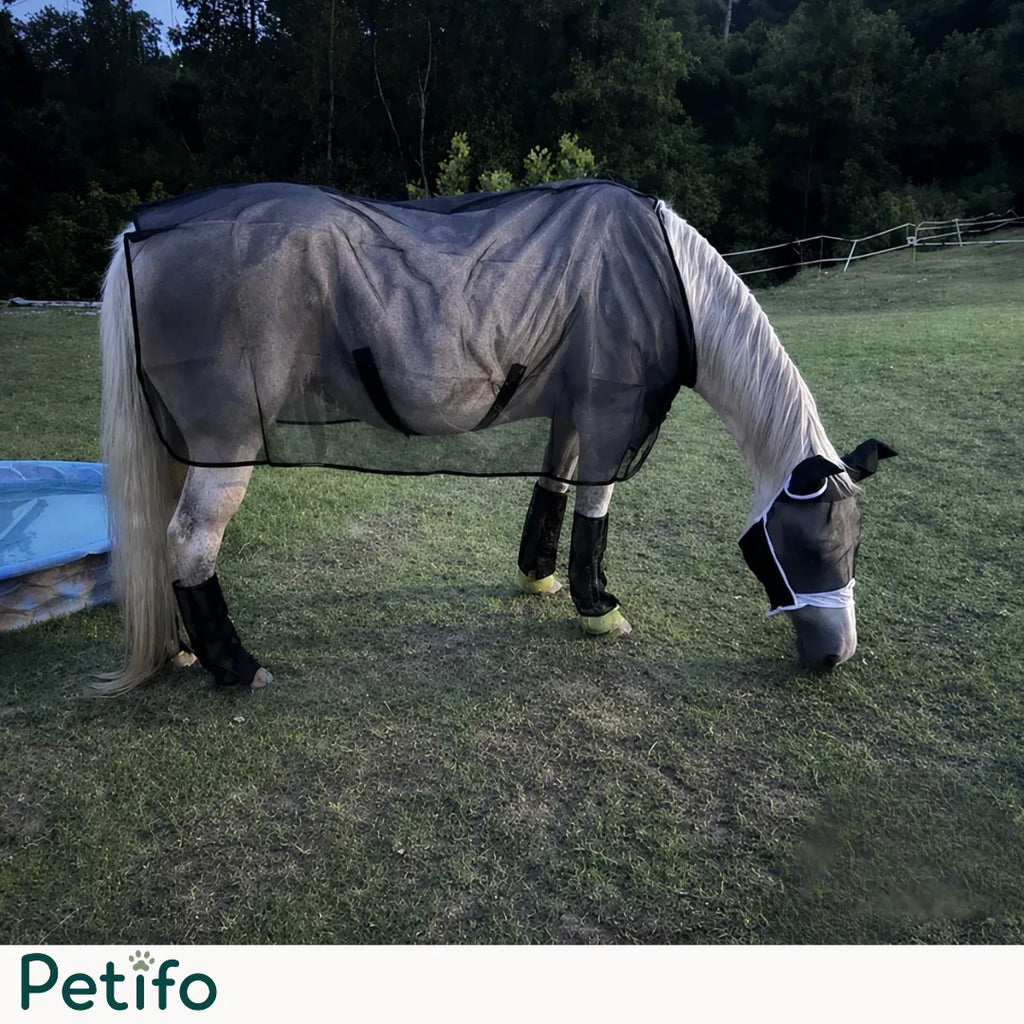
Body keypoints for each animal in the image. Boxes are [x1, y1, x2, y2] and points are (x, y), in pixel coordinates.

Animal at [94, 180, 894, 695]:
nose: (837, 657)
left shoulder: (571, 411)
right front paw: (598, 609)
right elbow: (596, 508)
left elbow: (554, 488)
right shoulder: (611, 413)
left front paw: (538, 578)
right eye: (814, 546)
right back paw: (235, 667)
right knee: (190, 540)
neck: (667, 277)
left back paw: (183, 652)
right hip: (225, 442)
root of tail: (142, 233)